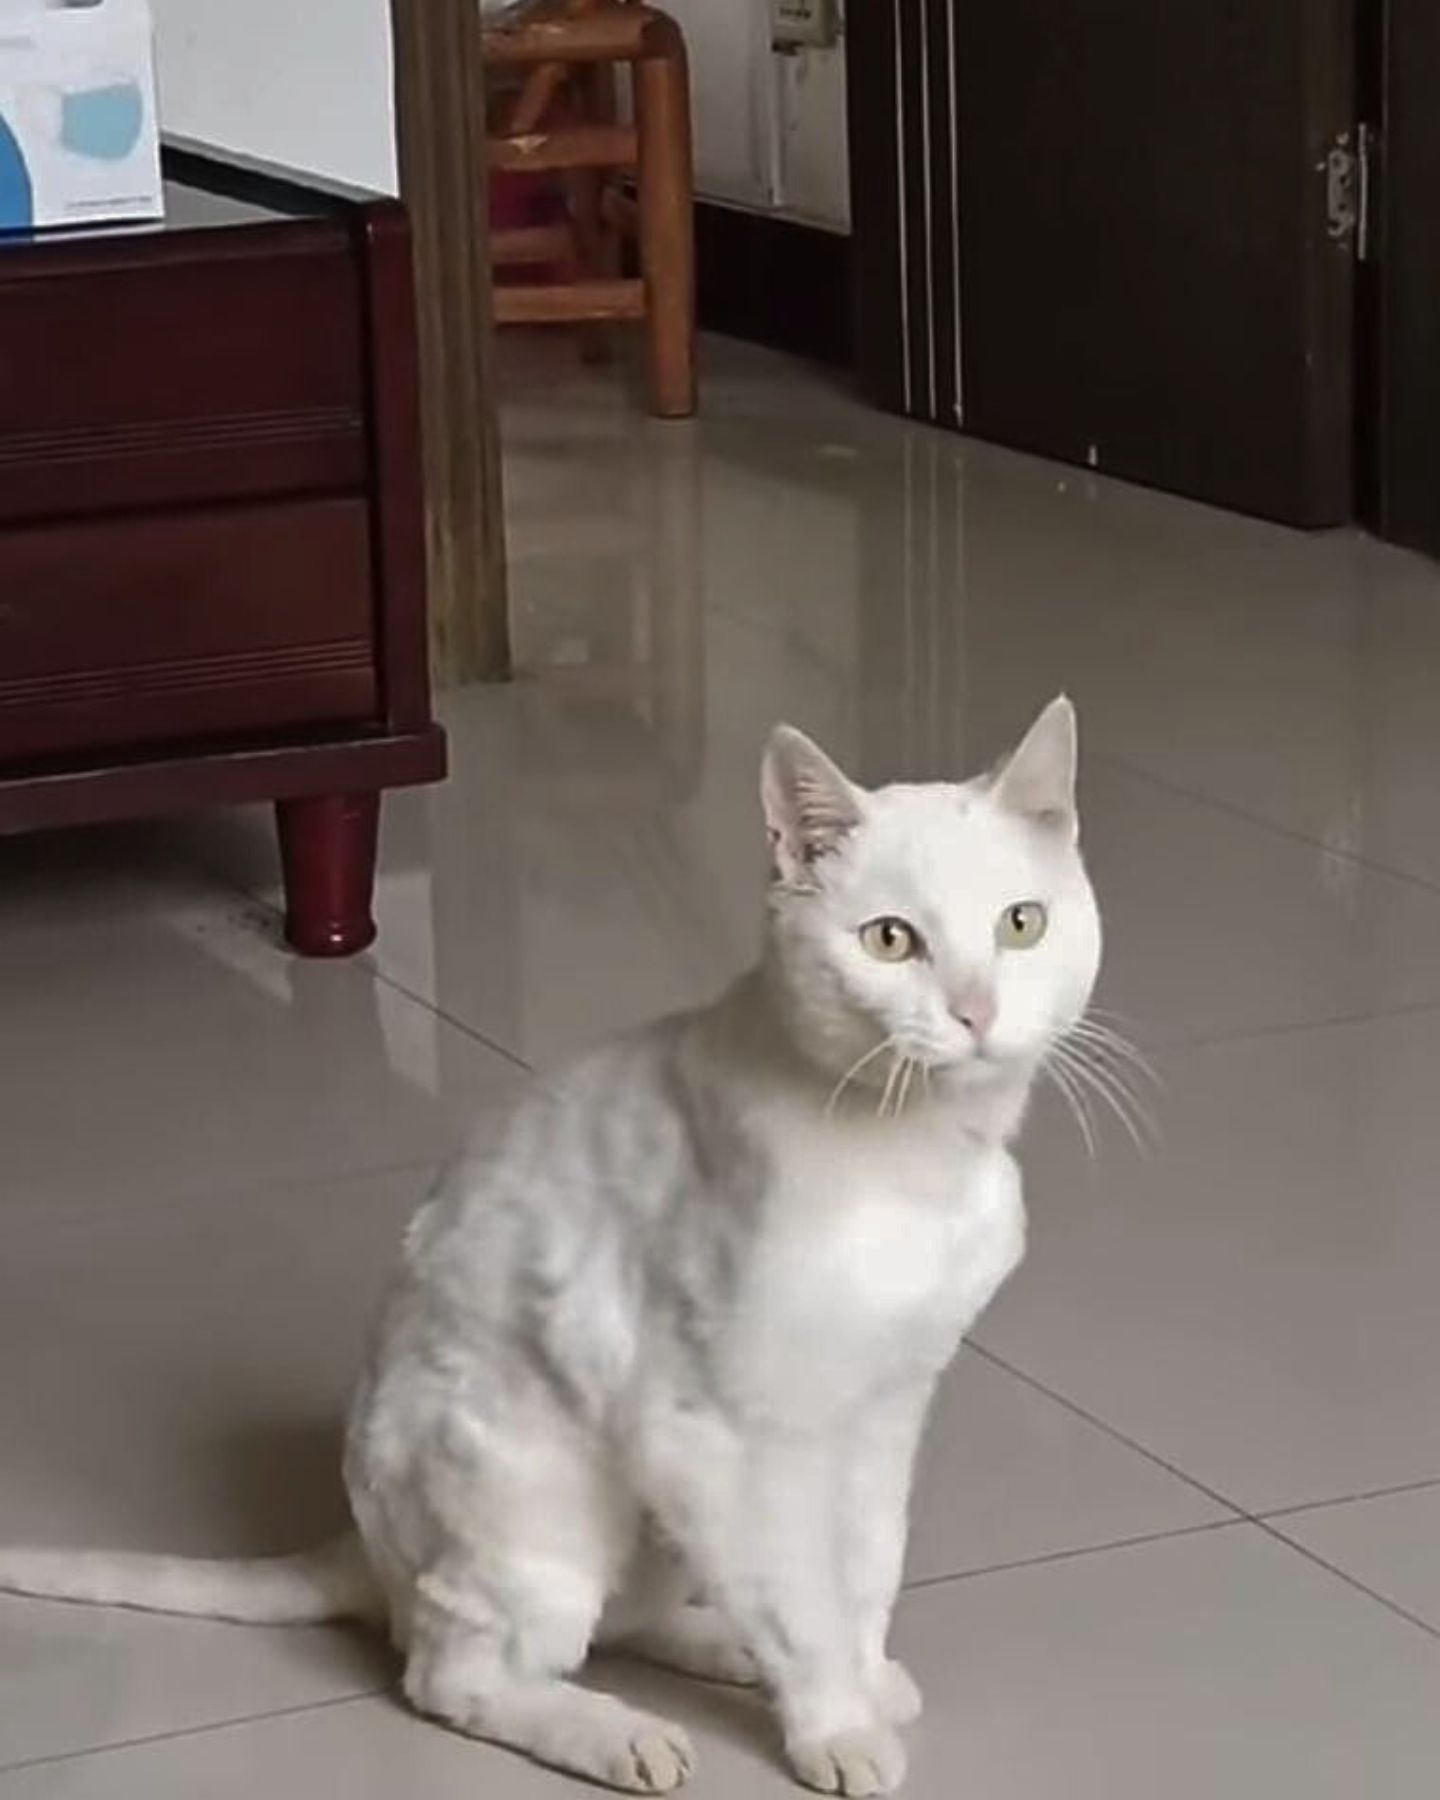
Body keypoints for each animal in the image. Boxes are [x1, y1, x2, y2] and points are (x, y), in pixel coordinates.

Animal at [0, 694, 1101, 1792]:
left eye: (1021, 925)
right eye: (889, 940)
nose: (975, 1013)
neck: (915, 1155)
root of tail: (363, 1549)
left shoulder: (884, 1411)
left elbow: (865, 1568)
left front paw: (861, 1685)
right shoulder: (718, 1431)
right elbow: (801, 1596)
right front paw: (834, 1726)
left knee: (636, 1615)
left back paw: (721, 1652)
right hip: (535, 1507)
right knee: (459, 1672)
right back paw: (625, 1733)